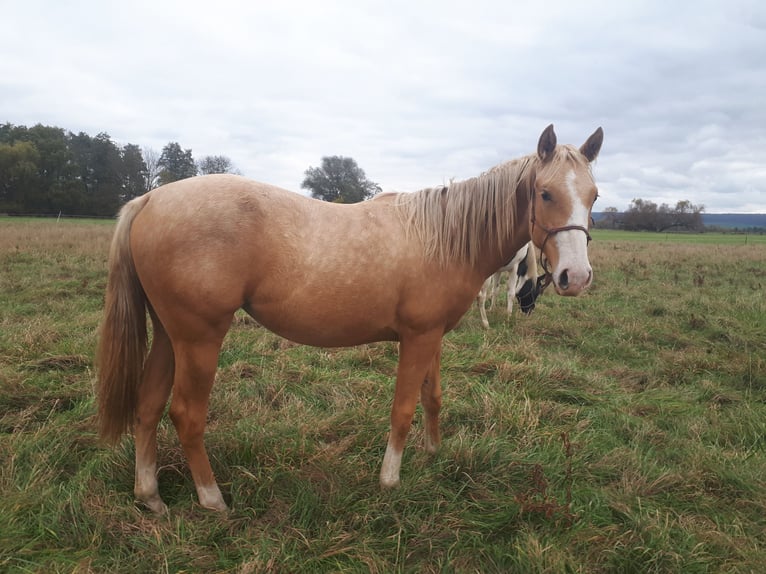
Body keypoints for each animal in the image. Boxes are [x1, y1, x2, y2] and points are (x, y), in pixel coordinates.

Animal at [96, 125, 604, 512]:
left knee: (147, 406)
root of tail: (149, 200)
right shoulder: (417, 338)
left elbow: (433, 397)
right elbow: (403, 409)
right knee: (185, 415)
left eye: (595, 196)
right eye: (545, 193)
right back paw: (211, 499)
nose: (575, 277)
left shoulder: (433, 336)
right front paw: (390, 480)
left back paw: (151, 497)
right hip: (199, 340)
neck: (442, 237)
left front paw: (433, 454)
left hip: (169, 336)